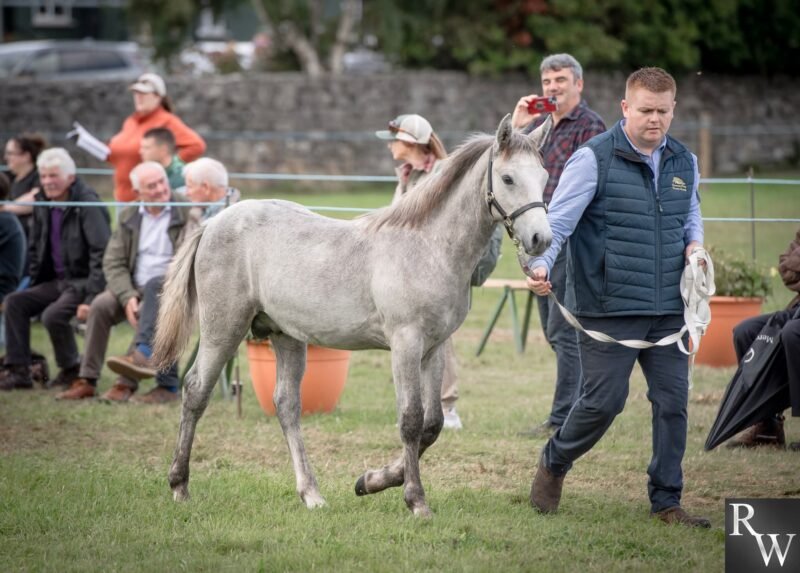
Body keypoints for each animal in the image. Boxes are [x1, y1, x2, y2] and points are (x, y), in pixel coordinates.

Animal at [152, 114, 552, 517]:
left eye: (545, 175)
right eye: (507, 178)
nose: (541, 240)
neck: (428, 247)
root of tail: (214, 223)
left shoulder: (434, 348)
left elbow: (433, 424)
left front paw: (373, 480)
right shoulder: (406, 344)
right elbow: (411, 420)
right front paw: (415, 499)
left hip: (286, 337)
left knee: (286, 406)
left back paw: (311, 494)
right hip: (223, 330)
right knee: (196, 391)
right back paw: (179, 485)